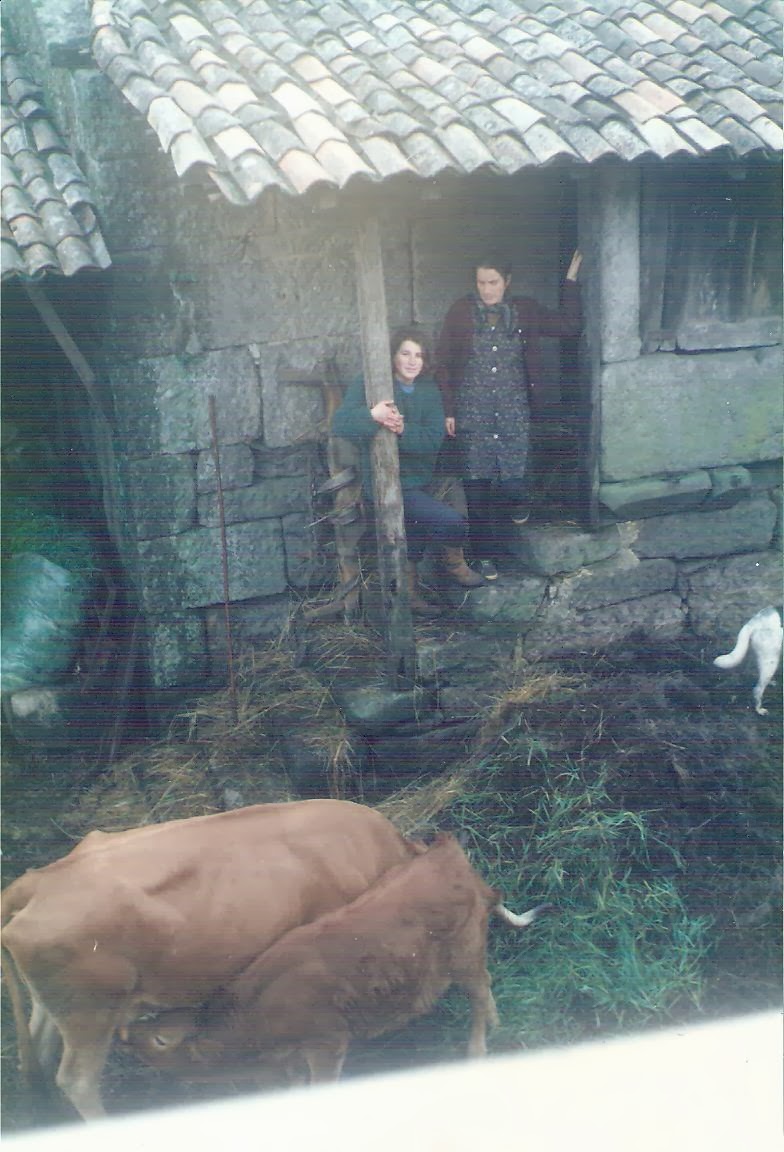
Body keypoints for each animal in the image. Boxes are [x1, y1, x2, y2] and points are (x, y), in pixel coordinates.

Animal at [123, 833, 550, 1086]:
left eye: (155, 1043)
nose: (123, 1038)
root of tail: (441, 850)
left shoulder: (326, 1044)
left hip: (464, 951)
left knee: (479, 992)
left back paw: (477, 1048)